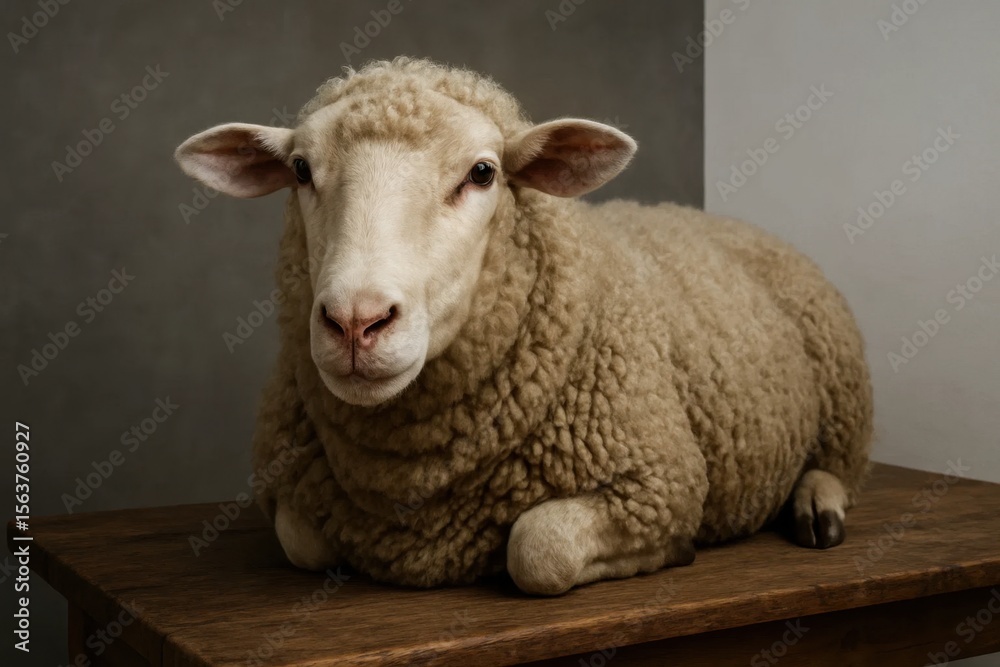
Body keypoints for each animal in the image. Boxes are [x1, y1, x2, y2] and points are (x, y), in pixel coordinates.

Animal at [174, 57, 873, 595]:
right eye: (299, 170)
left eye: (483, 172)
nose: (355, 321)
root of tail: (711, 217)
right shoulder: (292, 490)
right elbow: (302, 541)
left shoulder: (660, 481)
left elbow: (538, 548)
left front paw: (676, 552)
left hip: (841, 387)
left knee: (840, 463)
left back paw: (818, 508)